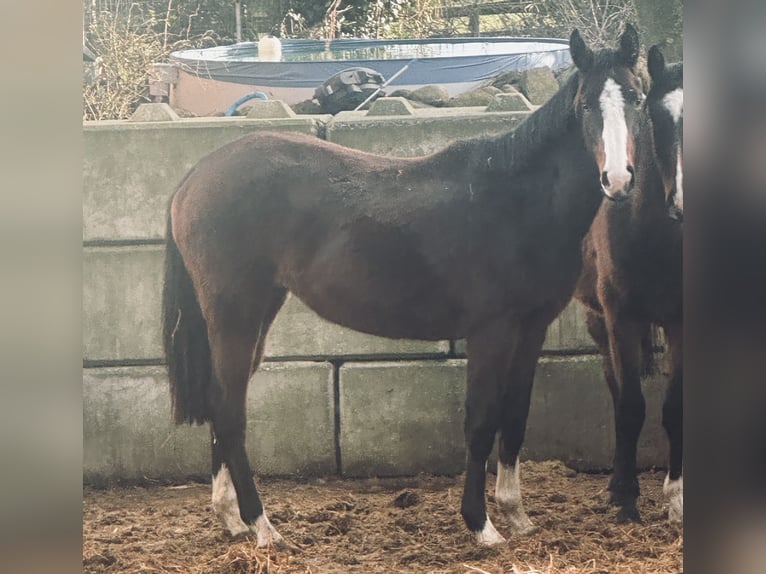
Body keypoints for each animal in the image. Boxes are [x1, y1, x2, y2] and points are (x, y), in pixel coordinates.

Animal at [164, 25, 648, 548]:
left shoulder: (531, 329)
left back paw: (231, 517)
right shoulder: (491, 332)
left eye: (638, 98)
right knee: (229, 410)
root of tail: (194, 178)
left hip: (257, 313)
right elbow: (482, 420)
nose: (617, 180)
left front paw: (516, 514)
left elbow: (515, 416)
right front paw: (482, 525)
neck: (516, 202)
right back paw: (263, 526)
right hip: (235, 313)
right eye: (586, 105)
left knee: (221, 402)